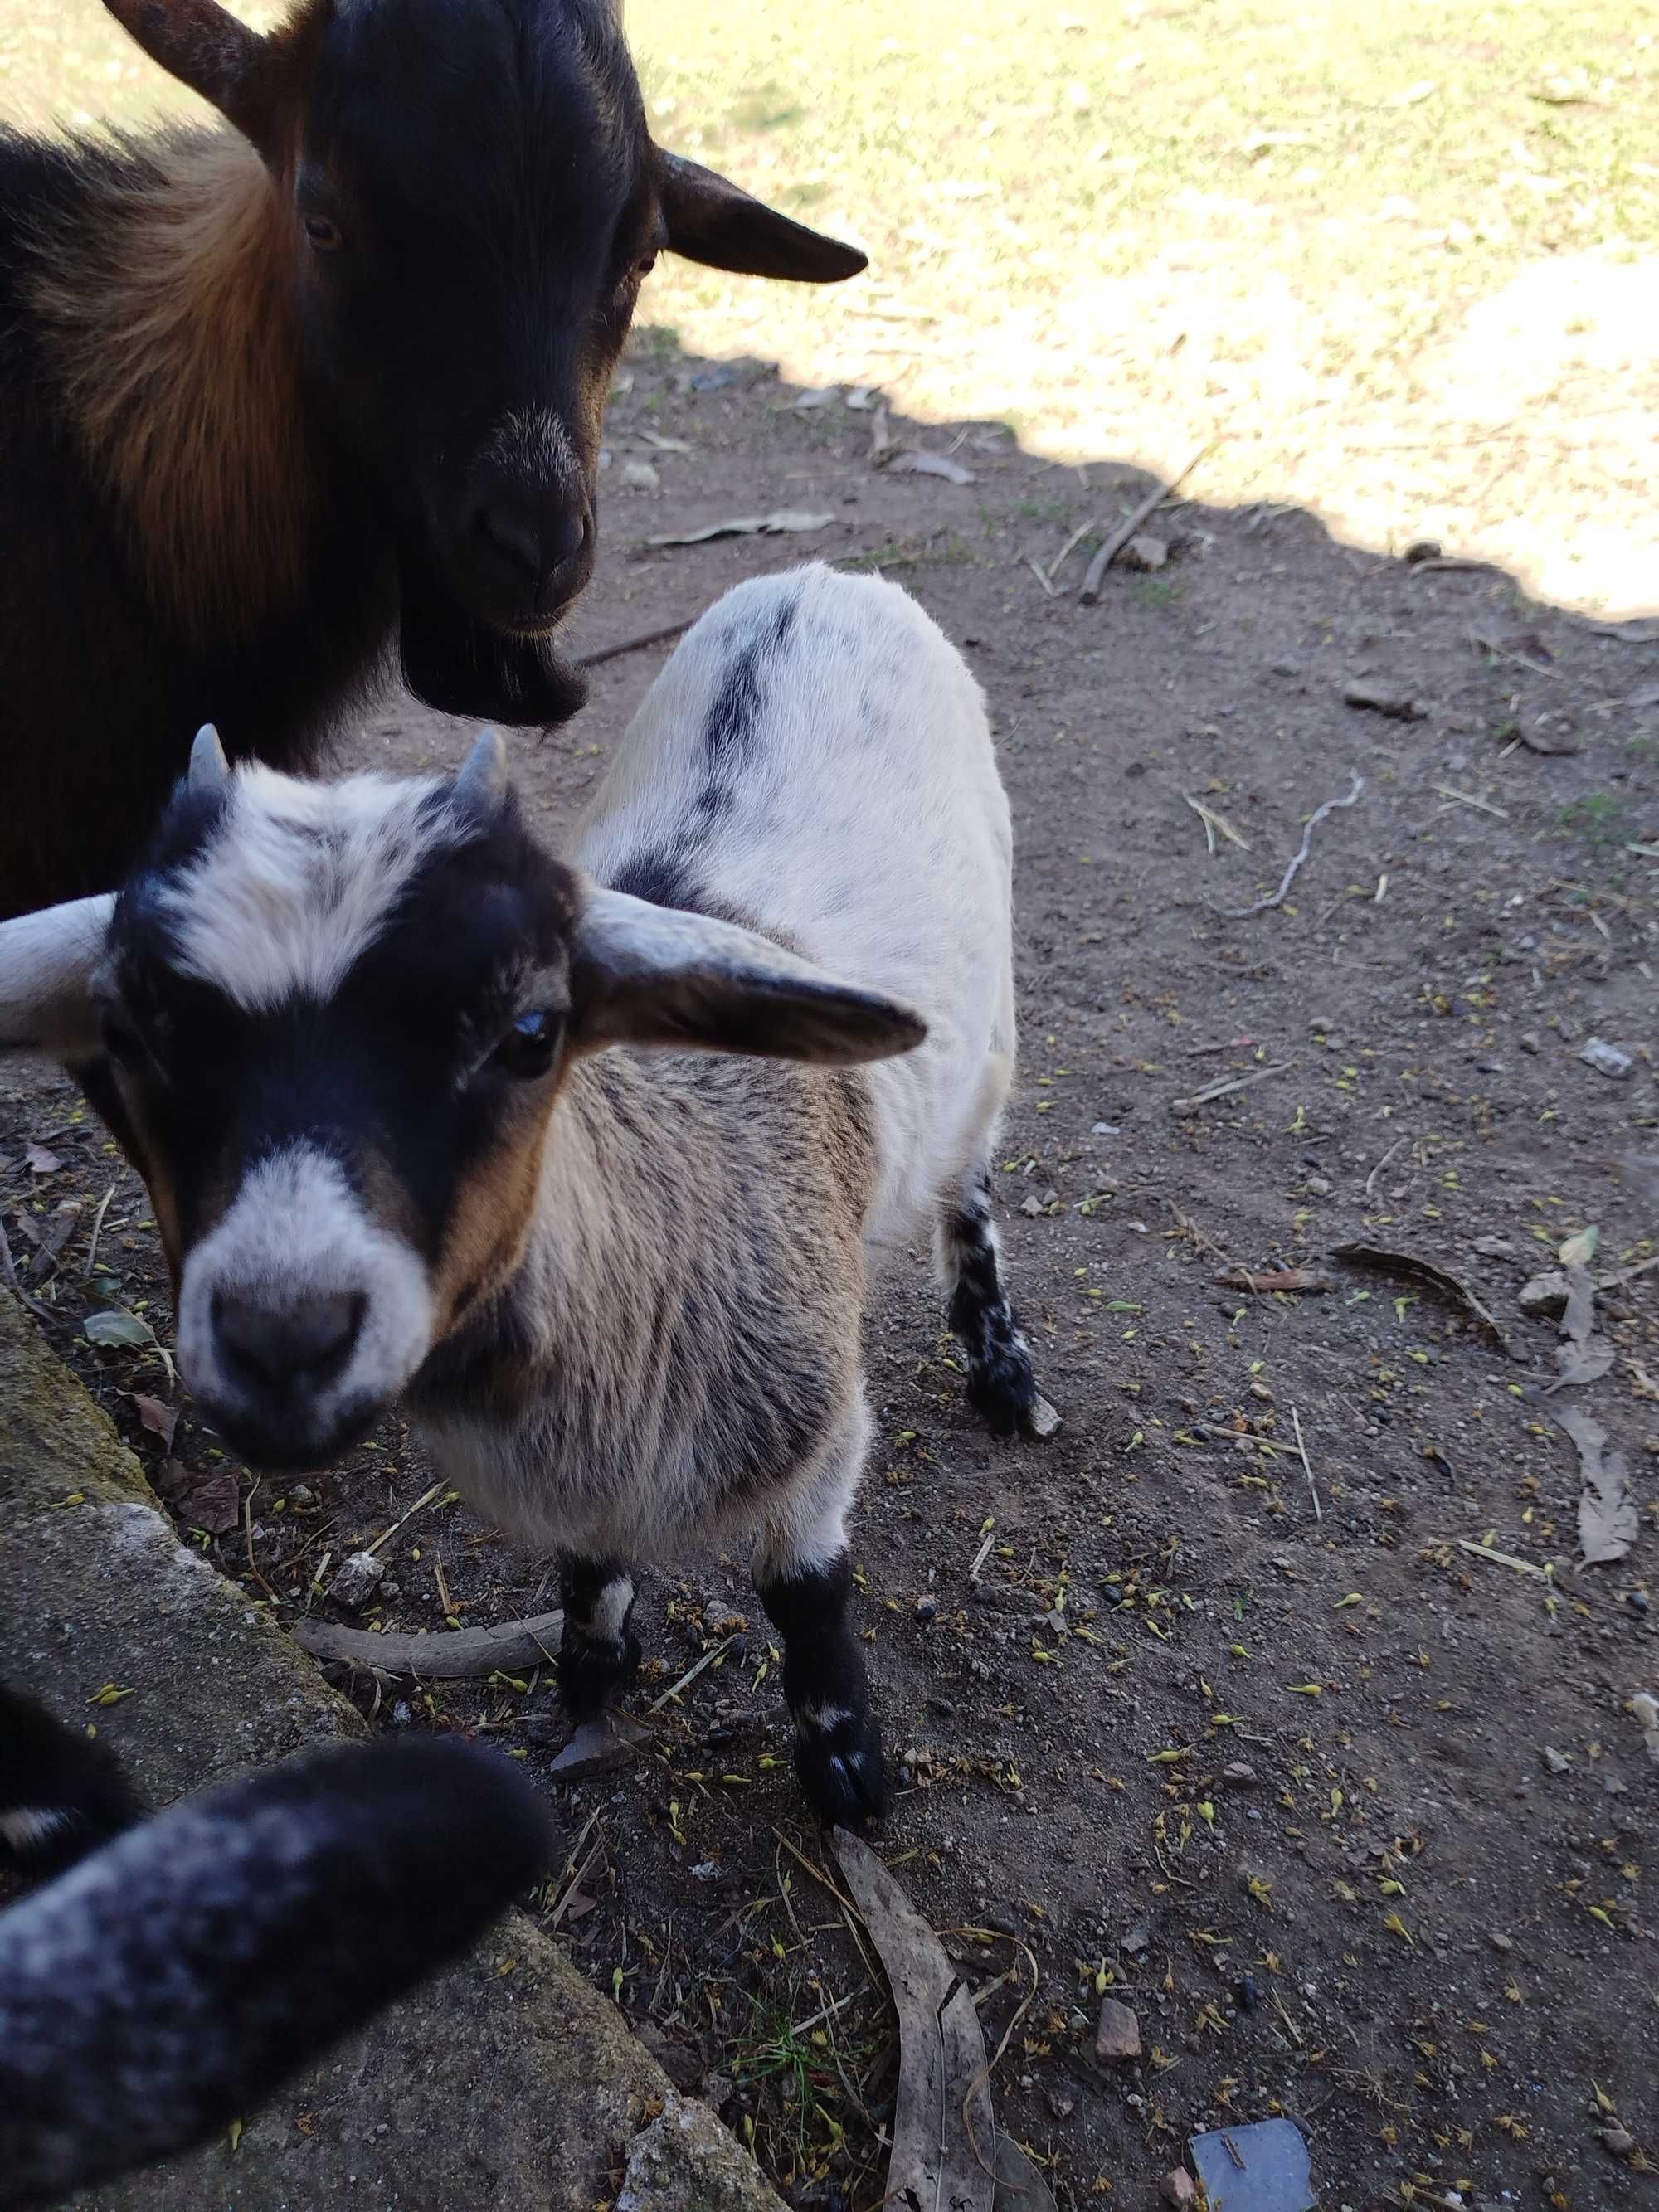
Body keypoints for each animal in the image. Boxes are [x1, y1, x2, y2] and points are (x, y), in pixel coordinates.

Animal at [0, 562, 1053, 1822]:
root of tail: (821, 579)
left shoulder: (816, 1442)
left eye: (532, 1031)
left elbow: (807, 1595)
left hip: (988, 1034)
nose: (282, 1338)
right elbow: (588, 1564)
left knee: (969, 1190)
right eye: (122, 1034)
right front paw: (593, 1670)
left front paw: (844, 1763)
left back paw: (1003, 1369)